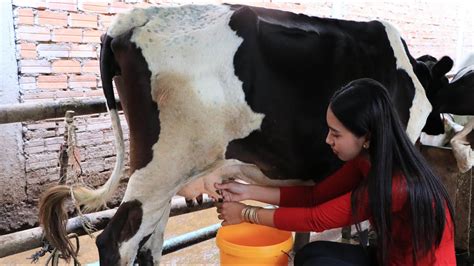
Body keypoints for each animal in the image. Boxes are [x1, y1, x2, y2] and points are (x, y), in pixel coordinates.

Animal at [38, 4, 466, 266]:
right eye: (442, 86)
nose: (442, 125)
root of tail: (136, 18)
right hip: (162, 166)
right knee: (118, 242)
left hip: (164, 175)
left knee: (150, 243)